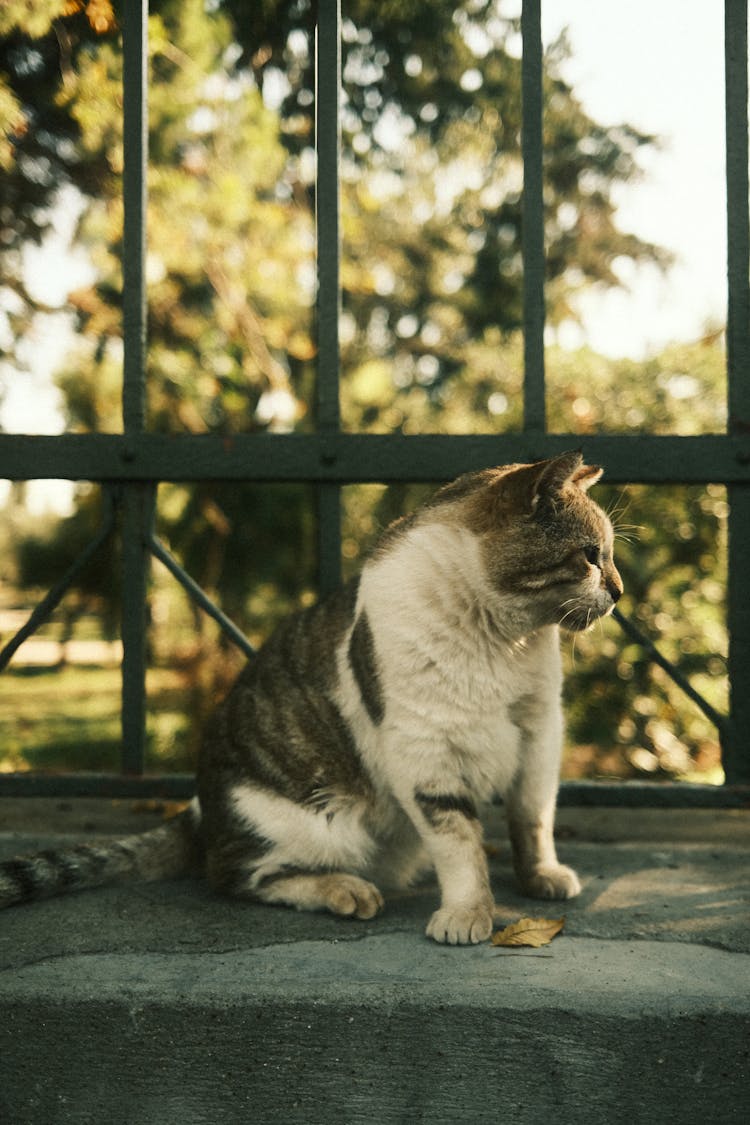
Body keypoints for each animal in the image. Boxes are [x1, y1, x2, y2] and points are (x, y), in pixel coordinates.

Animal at [0, 452, 620, 945]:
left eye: (611, 555)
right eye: (590, 555)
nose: (618, 590)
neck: (503, 639)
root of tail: (200, 808)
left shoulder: (540, 734)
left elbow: (532, 819)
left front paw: (541, 877)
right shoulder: (425, 752)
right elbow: (460, 843)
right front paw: (468, 913)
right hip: (315, 823)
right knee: (237, 874)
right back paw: (346, 890)